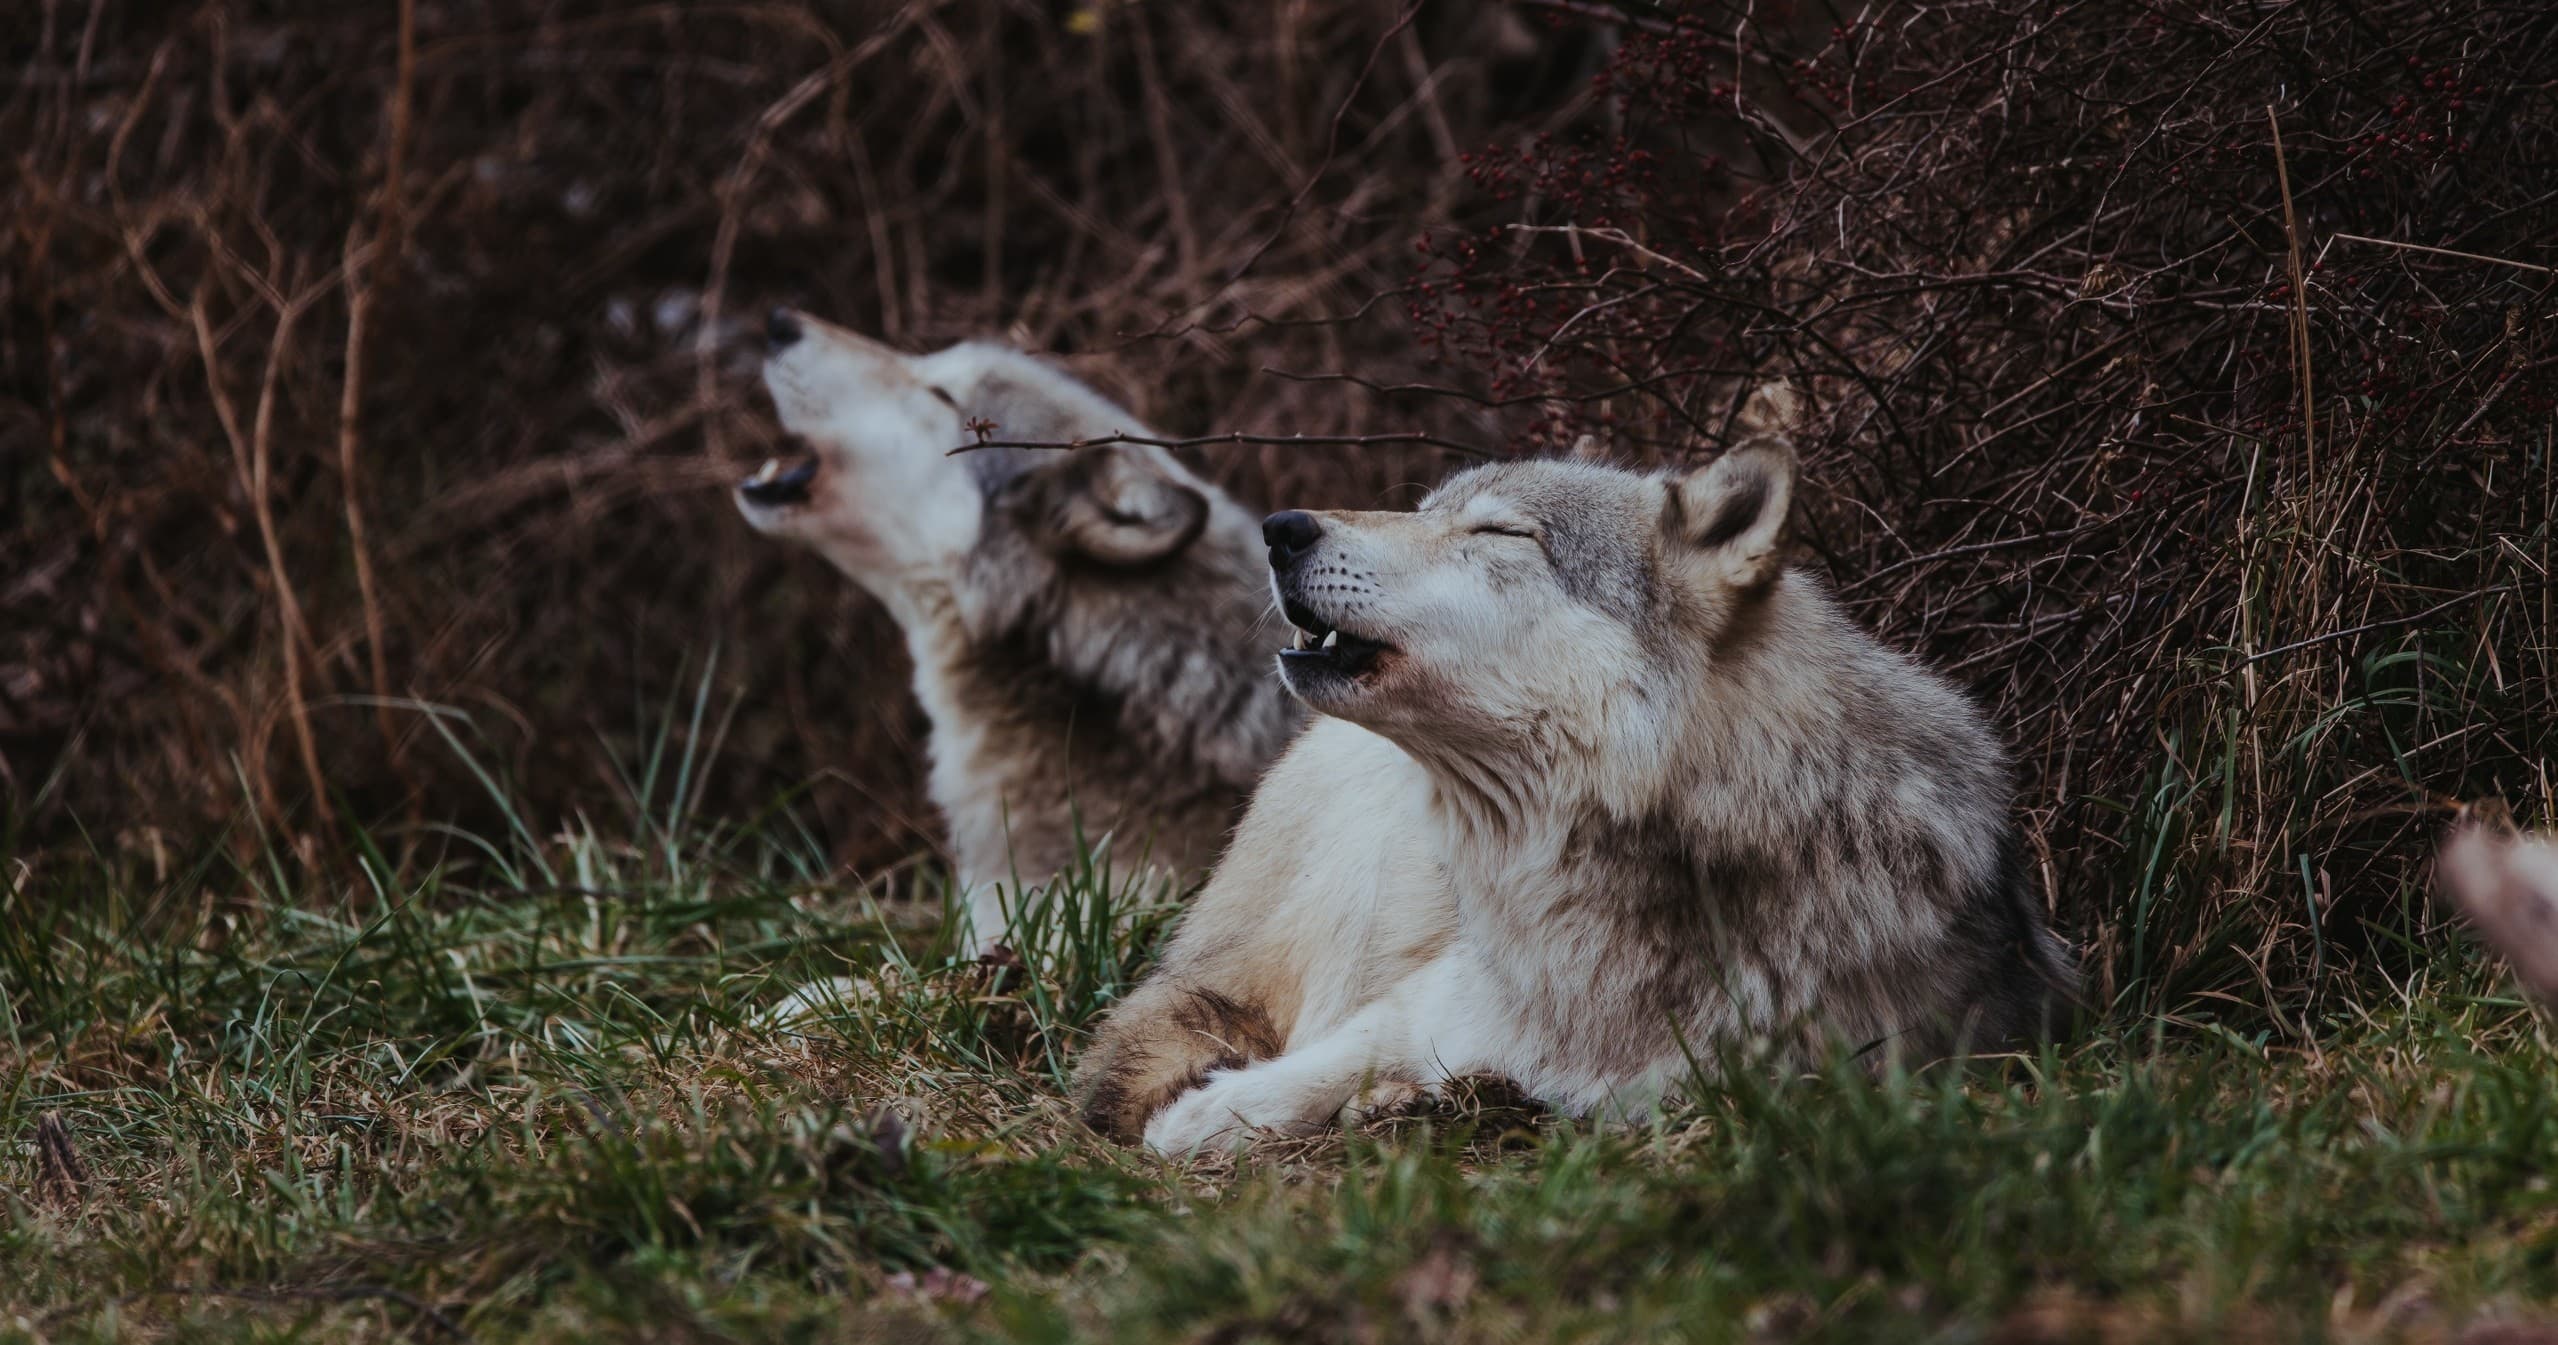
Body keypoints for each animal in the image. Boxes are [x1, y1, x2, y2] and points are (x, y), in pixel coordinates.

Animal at [1072, 389, 2074, 1151]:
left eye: (1498, 533)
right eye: (1426, 509)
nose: (1281, 527)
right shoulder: (1424, 1000)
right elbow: (1306, 1067)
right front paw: (1195, 1119)